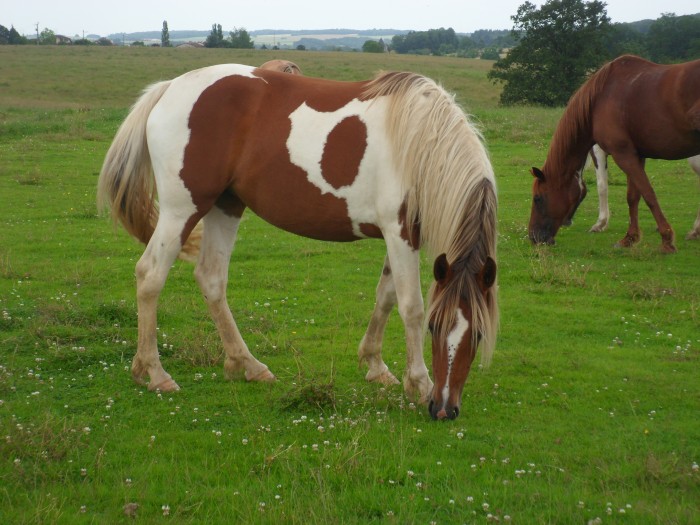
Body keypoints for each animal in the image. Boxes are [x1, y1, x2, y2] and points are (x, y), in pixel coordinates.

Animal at [100, 63, 504, 420]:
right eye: (436, 328)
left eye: (480, 333)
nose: (445, 409)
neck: (422, 141)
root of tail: (169, 87)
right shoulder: (400, 230)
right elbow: (411, 306)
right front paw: (418, 383)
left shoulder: (403, 235)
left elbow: (385, 296)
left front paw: (375, 365)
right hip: (181, 209)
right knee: (150, 275)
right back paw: (154, 373)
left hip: (226, 205)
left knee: (211, 278)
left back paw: (248, 365)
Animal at [532, 56, 700, 253]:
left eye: (537, 198)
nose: (533, 238)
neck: (599, 99)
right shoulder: (635, 155)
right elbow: (633, 196)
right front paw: (630, 238)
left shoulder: (620, 154)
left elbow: (645, 193)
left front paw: (666, 239)